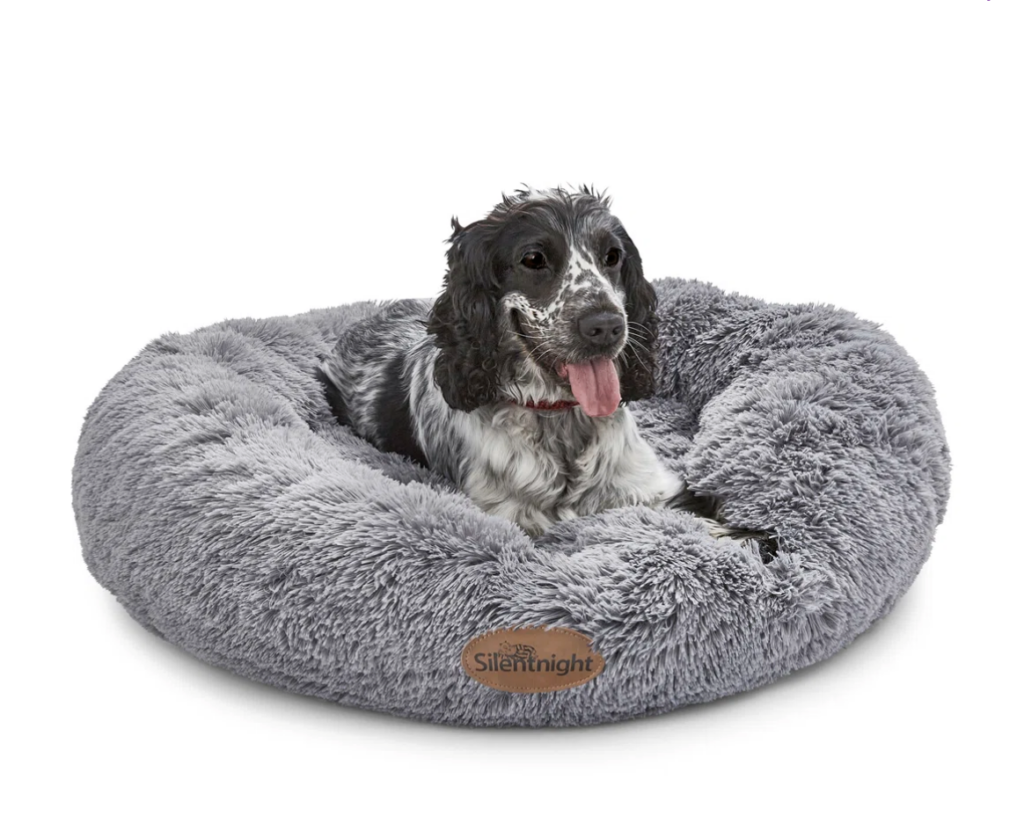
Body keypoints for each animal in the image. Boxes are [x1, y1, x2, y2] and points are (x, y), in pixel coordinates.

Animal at [318, 187, 776, 560]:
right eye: (533, 259)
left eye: (612, 256)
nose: (606, 326)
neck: (559, 421)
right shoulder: (509, 515)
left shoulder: (653, 487)